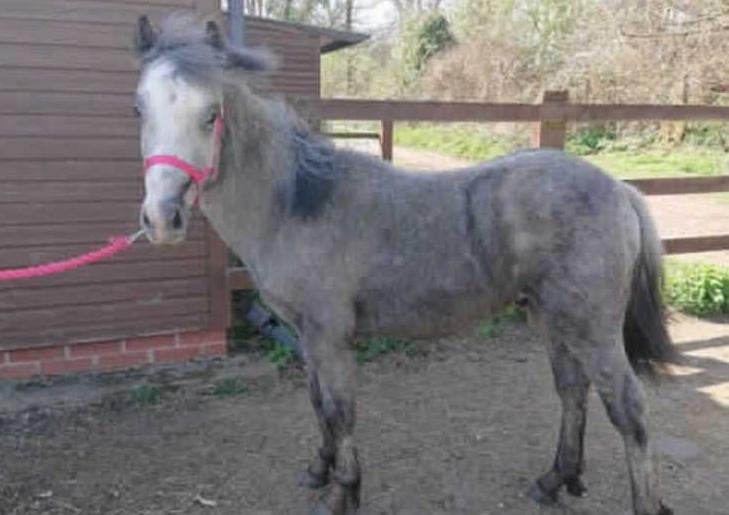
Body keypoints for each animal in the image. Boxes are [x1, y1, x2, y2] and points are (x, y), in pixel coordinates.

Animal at [132, 15, 676, 515]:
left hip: (592, 327)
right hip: (551, 317)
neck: (296, 203)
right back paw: (554, 479)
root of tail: (620, 190)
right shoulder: (306, 336)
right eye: (139, 108)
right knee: (572, 390)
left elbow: (340, 412)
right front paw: (319, 470)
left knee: (628, 409)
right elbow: (317, 403)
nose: (162, 217)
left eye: (211, 114)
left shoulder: (330, 336)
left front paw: (344, 494)